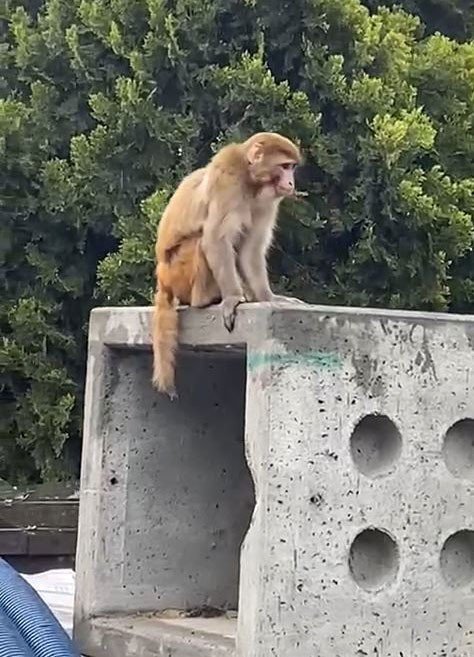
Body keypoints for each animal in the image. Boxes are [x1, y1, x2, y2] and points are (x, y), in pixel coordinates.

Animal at [154, 129, 306, 394]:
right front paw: (233, 298)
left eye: (292, 168)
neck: (250, 179)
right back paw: (205, 299)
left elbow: (249, 250)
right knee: (201, 241)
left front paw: (268, 298)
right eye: (285, 166)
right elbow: (216, 239)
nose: (291, 183)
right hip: (178, 271)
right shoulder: (227, 181)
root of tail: (162, 277)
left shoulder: (267, 202)